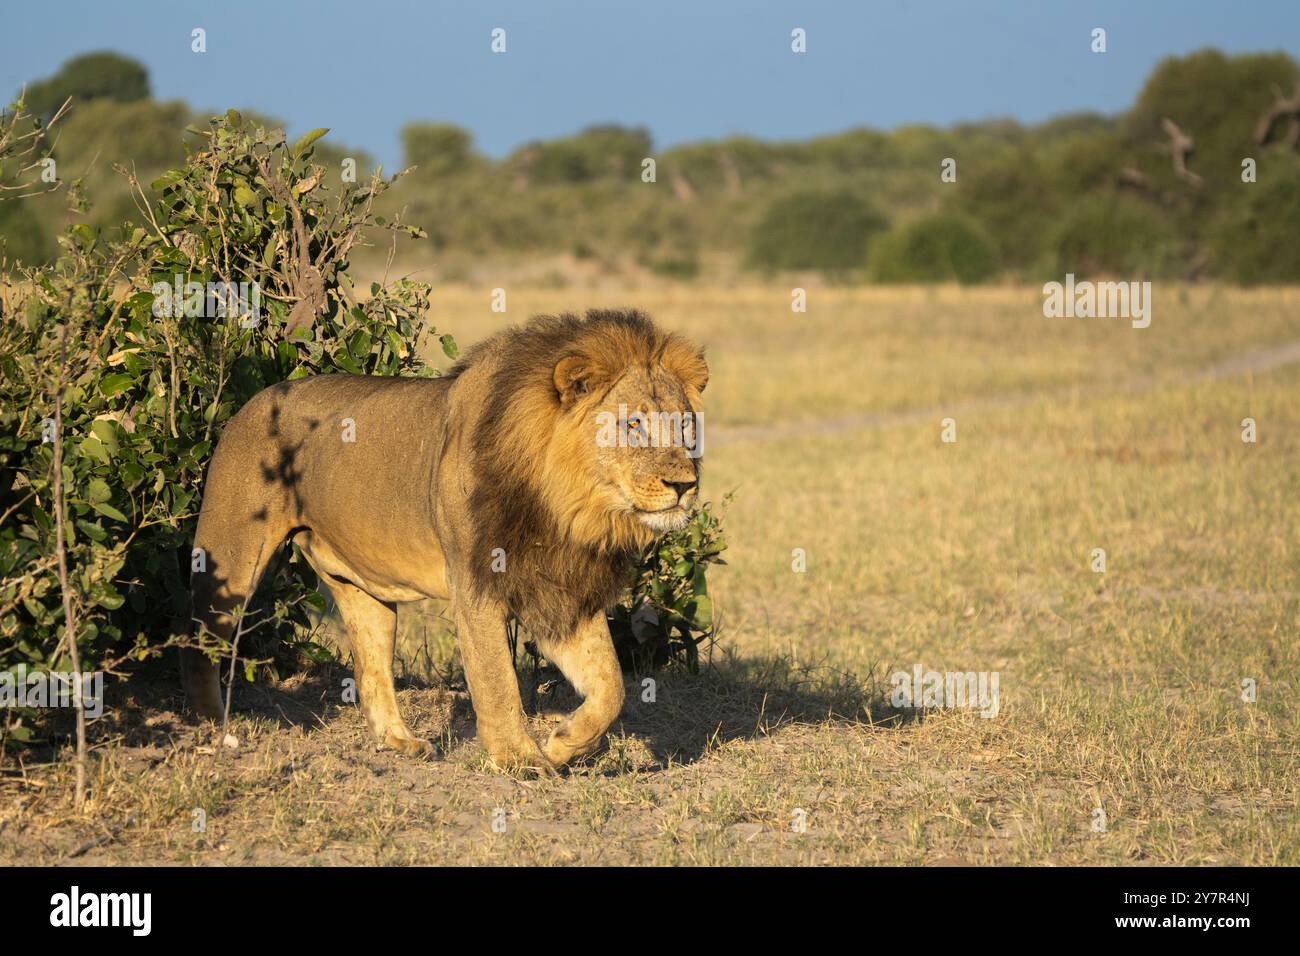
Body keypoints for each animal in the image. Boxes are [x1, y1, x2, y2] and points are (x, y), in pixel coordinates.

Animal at [185, 310, 702, 775]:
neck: (569, 506)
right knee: (199, 641)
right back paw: (214, 726)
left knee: (371, 671)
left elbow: (611, 685)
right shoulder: (476, 582)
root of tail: (254, 399)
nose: (685, 485)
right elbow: (496, 679)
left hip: (362, 591)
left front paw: (563, 745)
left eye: (683, 426)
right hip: (232, 557)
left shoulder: (560, 590)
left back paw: (401, 741)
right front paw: (519, 759)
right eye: (631, 425)